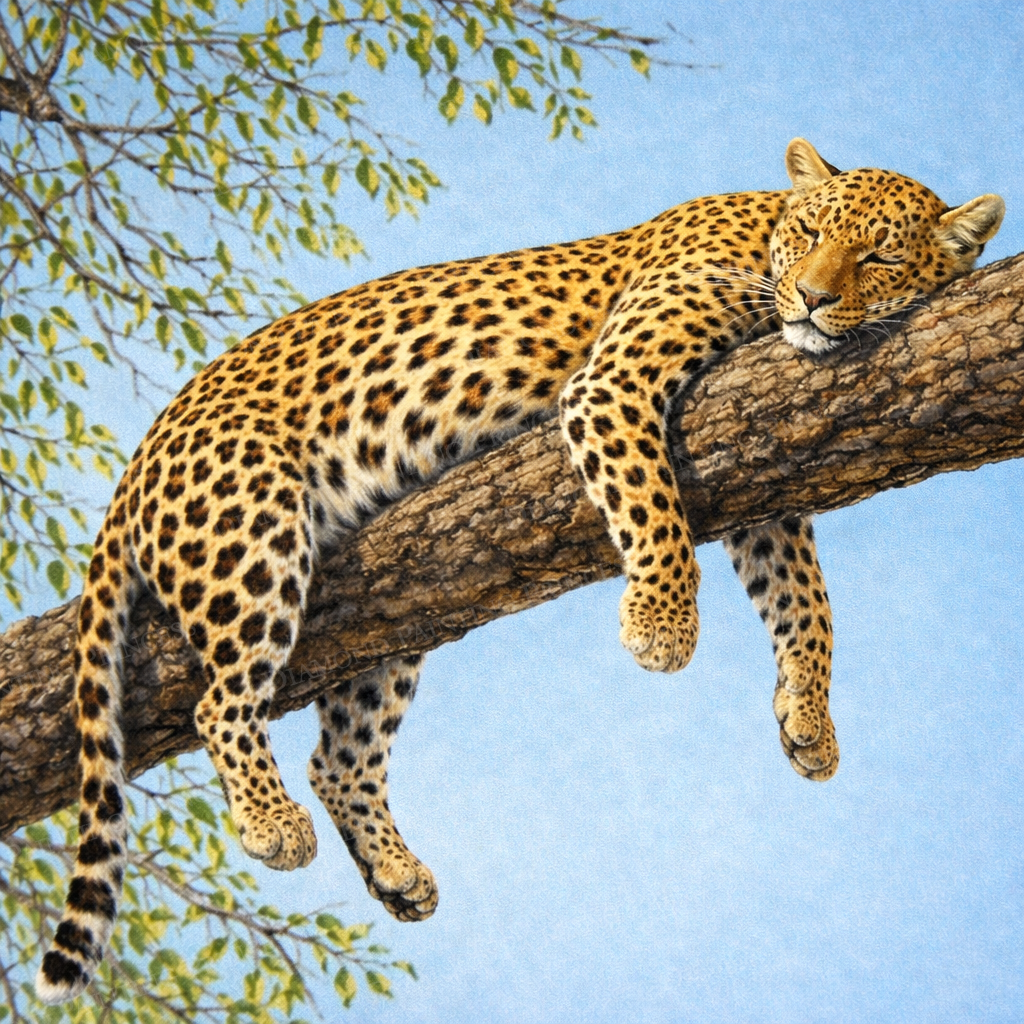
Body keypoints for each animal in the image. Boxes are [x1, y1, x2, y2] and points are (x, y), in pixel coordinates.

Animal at [37, 138, 1004, 1002]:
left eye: (879, 254)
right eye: (809, 233)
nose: (811, 296)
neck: (760, 235)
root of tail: (138, 460)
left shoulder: (761, 460)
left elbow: (805, 597)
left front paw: (808, 716)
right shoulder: (615, 383)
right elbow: (655, 506)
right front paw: (661, 626)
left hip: (386, 621)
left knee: (338, 758)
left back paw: (396, 872)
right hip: (254, 532)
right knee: (221, 702)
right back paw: (275, 827)